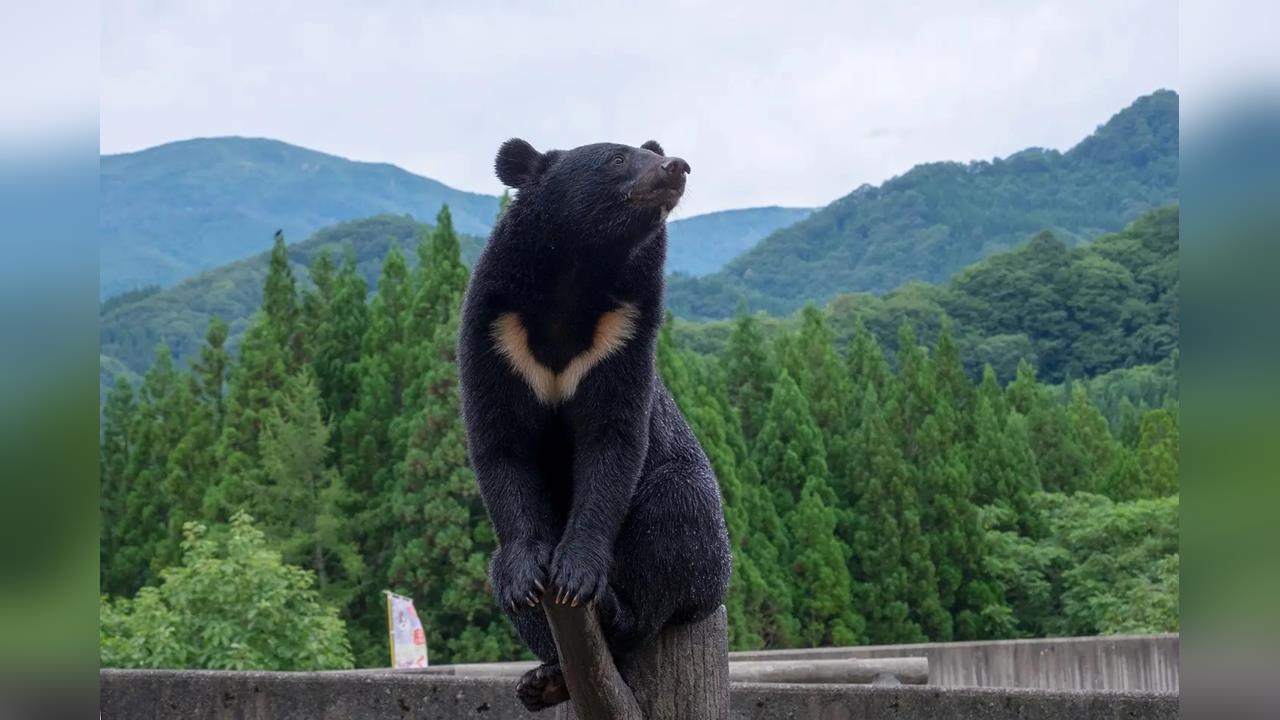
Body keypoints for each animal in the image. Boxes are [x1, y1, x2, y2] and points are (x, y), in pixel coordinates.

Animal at [457, 138, 732, 711]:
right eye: (618, 159)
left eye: (651, 152)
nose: (677, 167)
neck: (577, 271)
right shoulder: (496, 334)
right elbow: (501, 445)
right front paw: (527, 578)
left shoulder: (623, 336)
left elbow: (613, 442)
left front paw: (575, 576)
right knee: (496, 570)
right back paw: (544, 679)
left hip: (705, 554)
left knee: (676, 516)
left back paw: (613, 609)